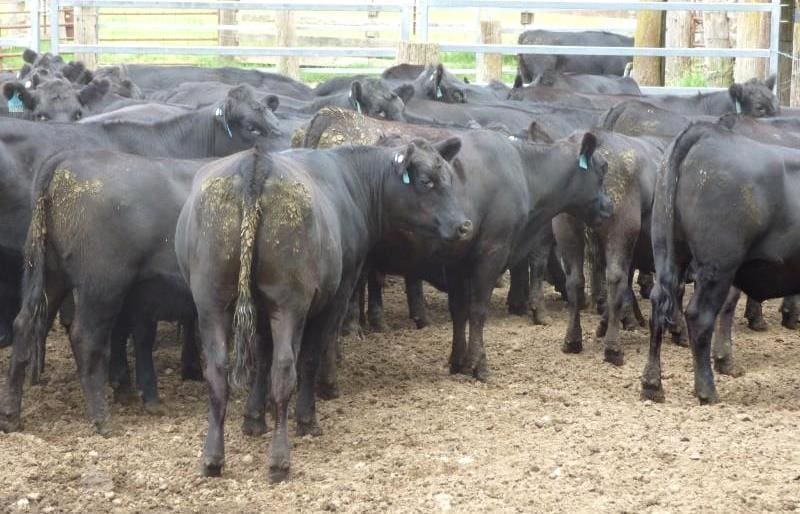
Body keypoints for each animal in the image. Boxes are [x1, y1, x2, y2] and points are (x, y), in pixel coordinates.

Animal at [175, 138, 472, 482]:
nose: (465, 225)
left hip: (211, 301)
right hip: (288, 302)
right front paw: (307, 418)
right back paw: (280, 460)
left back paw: (212, 458)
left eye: (449, 176)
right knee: (285, 369)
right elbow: (311, 356)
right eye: (426, 182)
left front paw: (253, 419)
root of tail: (256, 163)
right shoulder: (339, 291)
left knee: (218, 371)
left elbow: (261, 358)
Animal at [643, 120, 800, 404]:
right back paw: (707, 391)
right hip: (718, 265)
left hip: (667, 250)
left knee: (658, 306)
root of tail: (707, 132)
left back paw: (652, 385)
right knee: (700, 316)